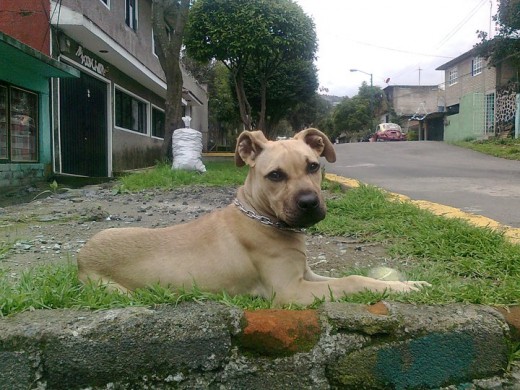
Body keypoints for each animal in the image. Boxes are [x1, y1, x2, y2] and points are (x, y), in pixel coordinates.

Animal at [76, 128, 426, 304]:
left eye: (313, 166)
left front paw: (409, 284)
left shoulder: (307, 276)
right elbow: (352, 281)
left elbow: (356, 278)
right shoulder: (291, 291)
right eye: (275, 175)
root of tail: (80, 257)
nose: (310, 203)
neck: (261, 216)